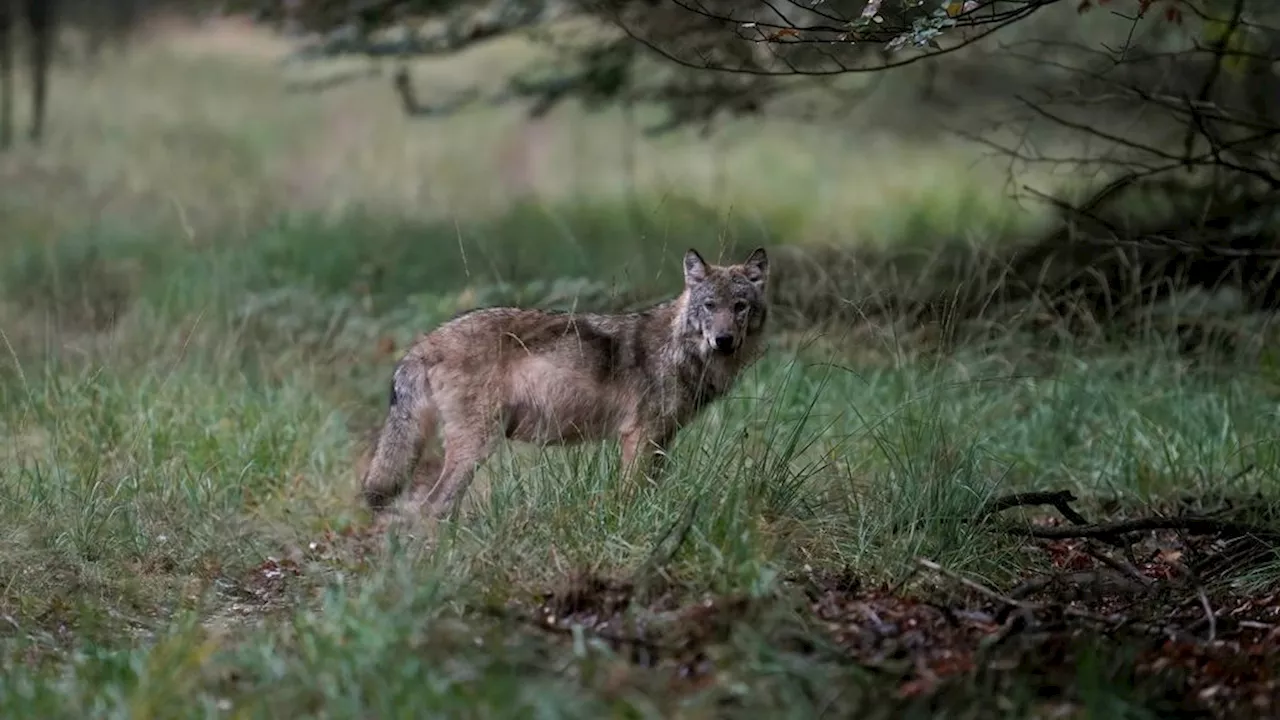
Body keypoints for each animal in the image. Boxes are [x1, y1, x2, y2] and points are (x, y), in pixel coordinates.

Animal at [360, 245, 768, 515]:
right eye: (710, 306)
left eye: (740, 307)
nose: (724, 340)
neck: (680, 349)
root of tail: (425, 341)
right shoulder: (639, 436)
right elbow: (630, 495)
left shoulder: (662, 439)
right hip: (476, 446)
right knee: (432, 507)